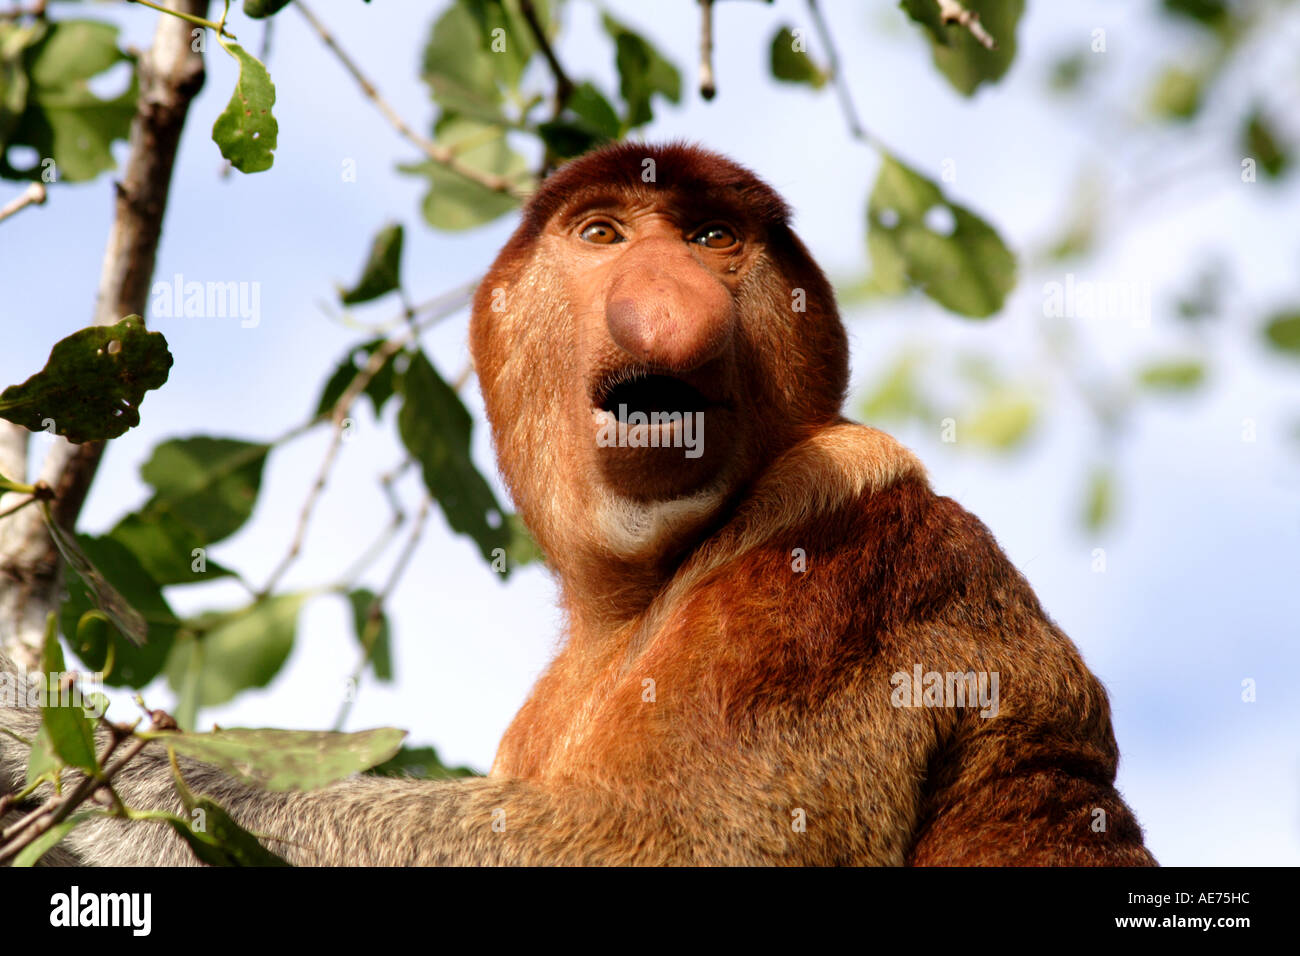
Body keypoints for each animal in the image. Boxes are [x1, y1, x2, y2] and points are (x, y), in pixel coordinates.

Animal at [0, 142, 1156, 866]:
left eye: (710, 238)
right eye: (604, 234)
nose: (671, 298)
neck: (636, 589)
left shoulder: (842, 546)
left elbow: (676, 843)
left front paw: (99, 766)